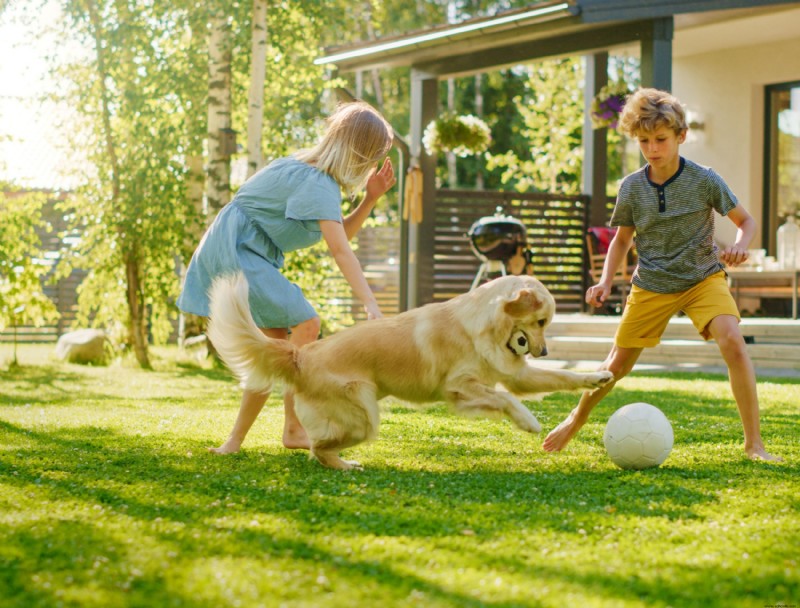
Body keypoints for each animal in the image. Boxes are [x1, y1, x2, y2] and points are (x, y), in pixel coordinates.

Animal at [206, 274, 612, 468]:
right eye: (541, 321)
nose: (544, 351)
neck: (482, 325)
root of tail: (301, 355)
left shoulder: (511, 375)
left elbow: (561, 378)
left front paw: (597, 377)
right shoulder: (459, 386)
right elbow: (504, 398)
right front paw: (528, 421)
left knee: (318, 446)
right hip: (364, 415)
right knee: (319, 447)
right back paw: (344, 465)